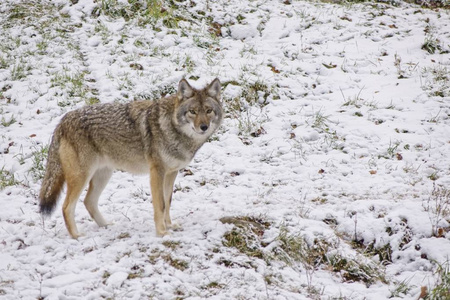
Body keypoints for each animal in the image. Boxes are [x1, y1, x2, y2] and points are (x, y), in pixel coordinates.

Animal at [39, 78, 223, 239]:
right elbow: (160, 204)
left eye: (208, 111)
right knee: (66, 207)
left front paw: (169, 226)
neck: (172, 128)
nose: (204, 127)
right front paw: (162, 233)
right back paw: (76, 236)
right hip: (82, 177)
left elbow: (168, 202)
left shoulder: (172, 173)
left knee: (88, 201)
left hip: (103, 175)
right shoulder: (157, 172)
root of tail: (62, 121)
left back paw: (106, 225)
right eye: (192, 111)